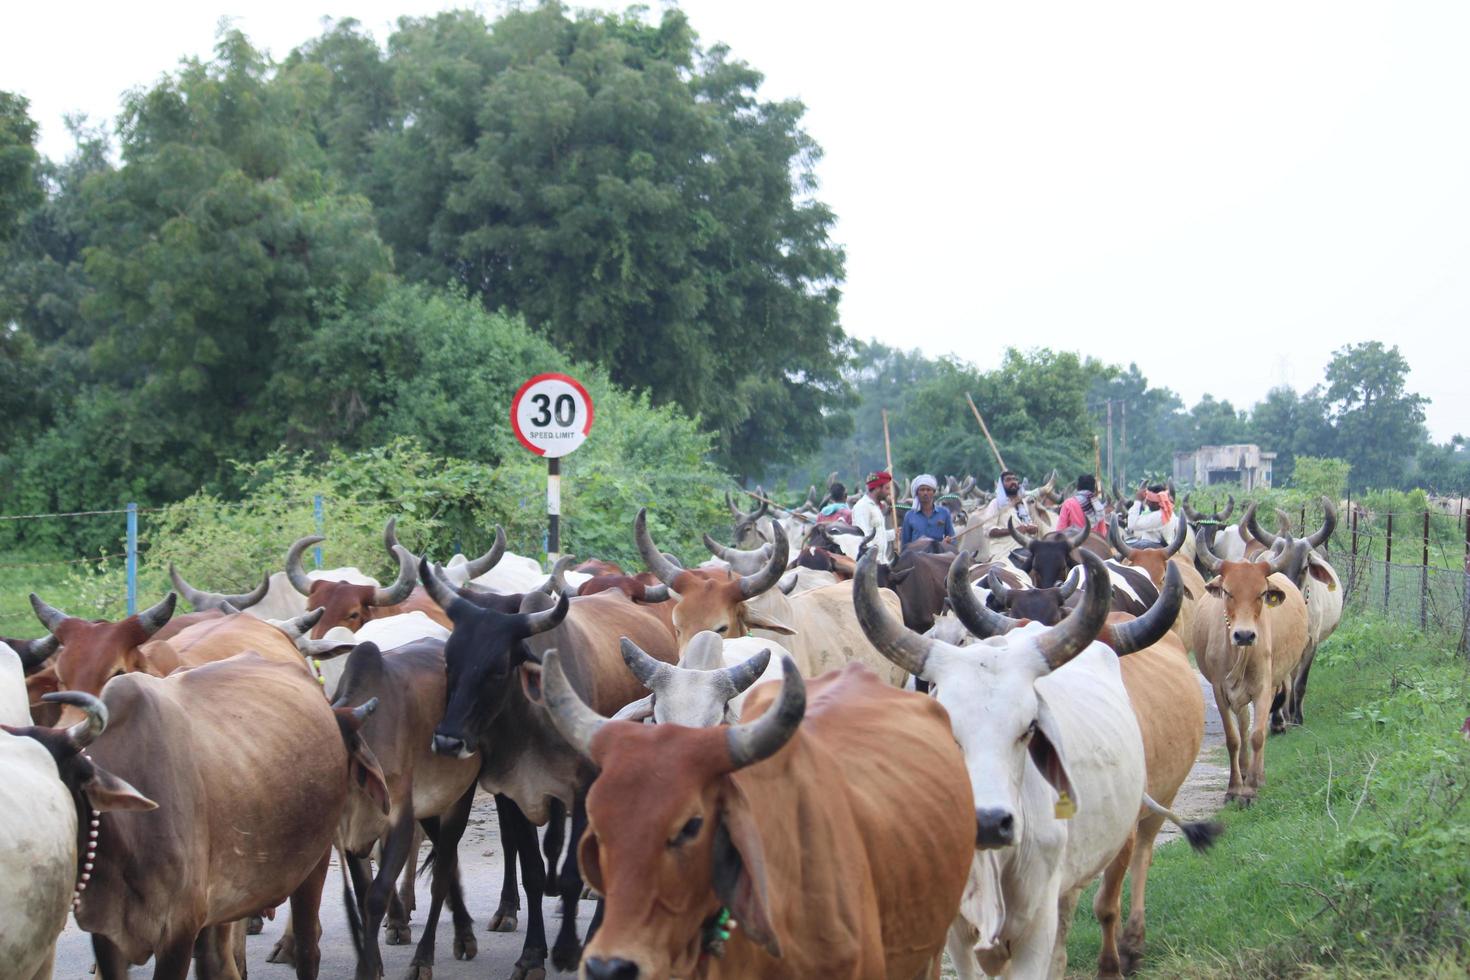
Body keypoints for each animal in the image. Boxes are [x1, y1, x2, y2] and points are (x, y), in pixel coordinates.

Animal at [1193, 528, 1311, 805]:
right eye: (1228, 592)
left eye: (1261, 593)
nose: (1244, 635)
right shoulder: (1220, 690)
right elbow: (1234, 738)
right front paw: (1235, 788)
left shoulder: (1264, 688)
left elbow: (1258, 736)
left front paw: (1251, 791)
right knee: (1244, 727)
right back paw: (1246, 772)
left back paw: (1257, 776)